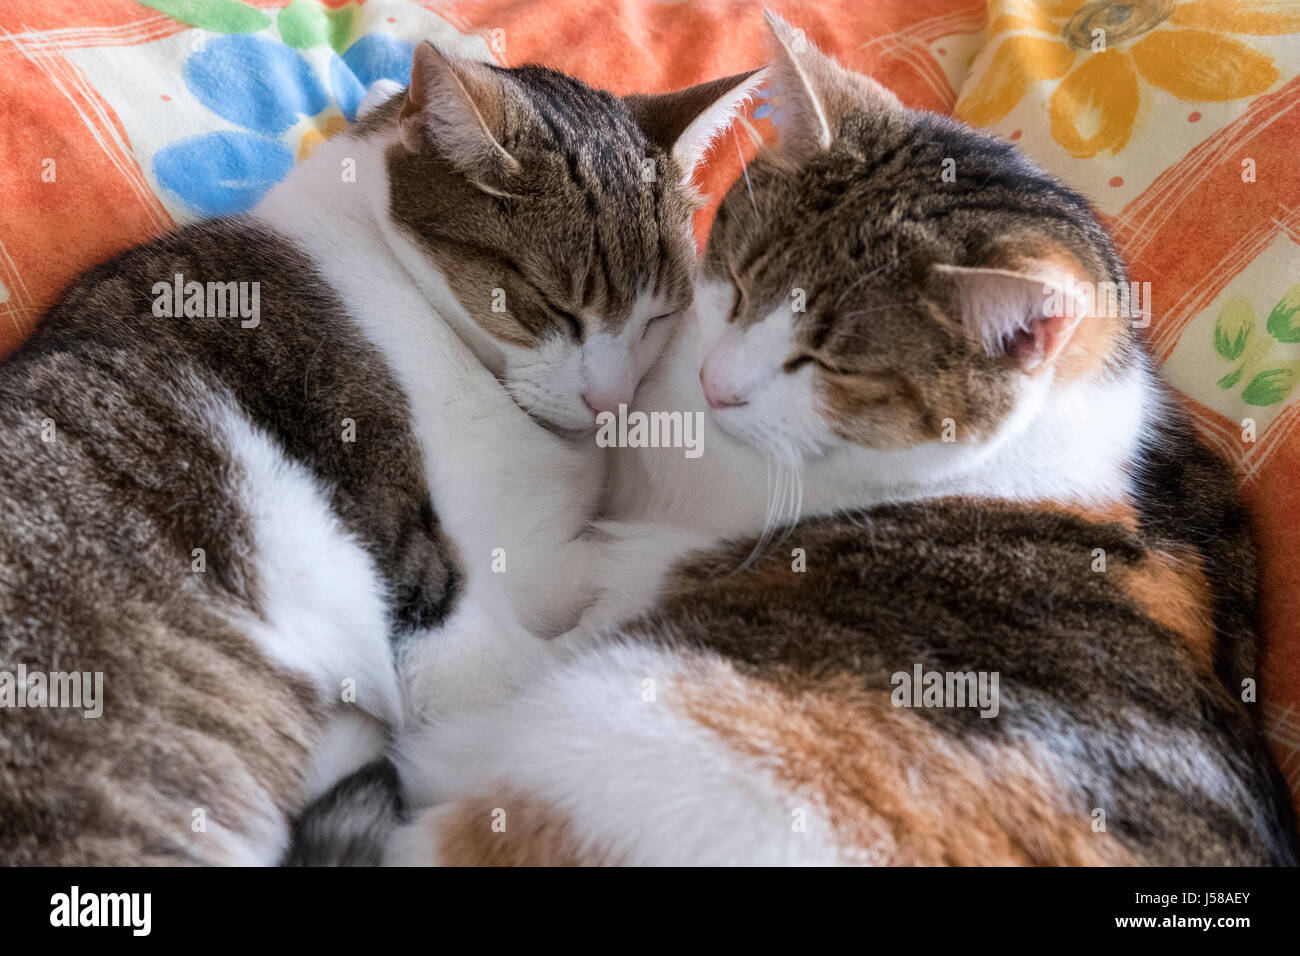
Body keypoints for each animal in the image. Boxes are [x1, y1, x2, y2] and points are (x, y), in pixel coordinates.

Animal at [2, 39, 759, 868]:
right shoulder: (442, 628)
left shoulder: (536, 557)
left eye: (660, 315)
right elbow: (582, 627)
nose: (611, 403)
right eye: (553, 308)